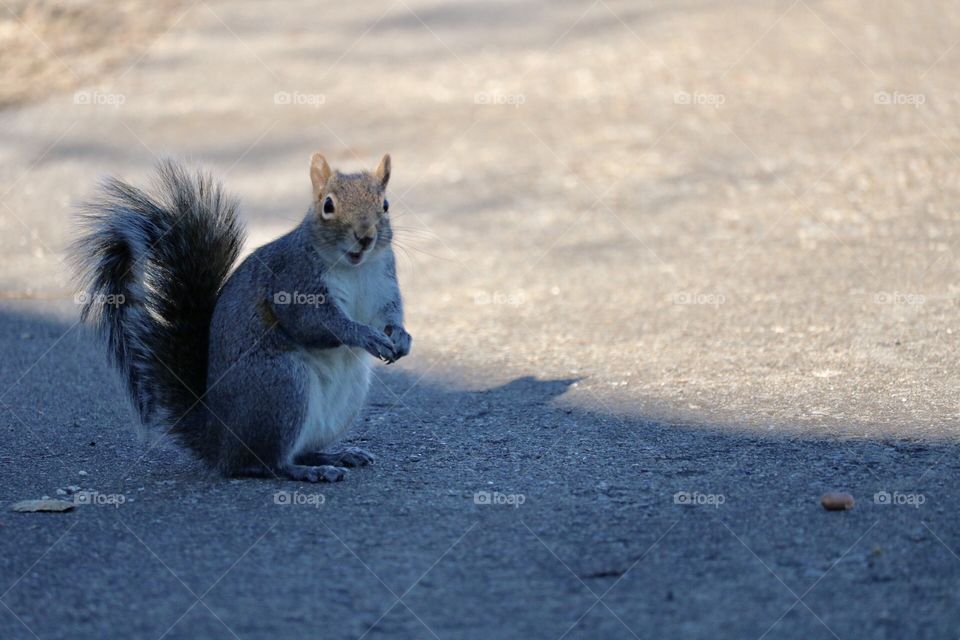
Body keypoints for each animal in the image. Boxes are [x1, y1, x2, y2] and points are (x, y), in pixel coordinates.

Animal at [69, 152, 408, 482]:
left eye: (385, 205)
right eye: (328, 205)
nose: (365, 236)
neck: (355, 268)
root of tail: (219, 441)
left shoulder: (383, 286)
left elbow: (389, 315)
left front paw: (402, 337)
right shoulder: (293, 282)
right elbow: (314, 324)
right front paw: (365, 335)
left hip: (343, 397)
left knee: (300, 450)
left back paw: (335, 455)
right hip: (281, 388)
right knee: (262, 463)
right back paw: (307, 471)